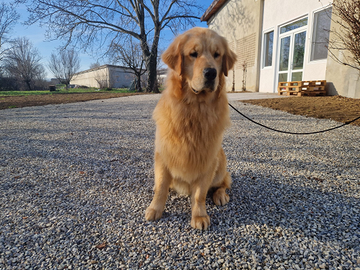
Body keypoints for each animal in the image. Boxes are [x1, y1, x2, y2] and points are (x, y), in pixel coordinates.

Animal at [145, 27, 238, 230]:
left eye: (217, 54)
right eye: (193, 54)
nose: (211, 73)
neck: (195, 108)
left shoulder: (207, 160)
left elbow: (200, 194)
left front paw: (199, 216)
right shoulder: (163, 154)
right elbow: (161, 187)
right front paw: (155, 209)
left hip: (220, 163)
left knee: (224, 183)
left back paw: (221, 195)